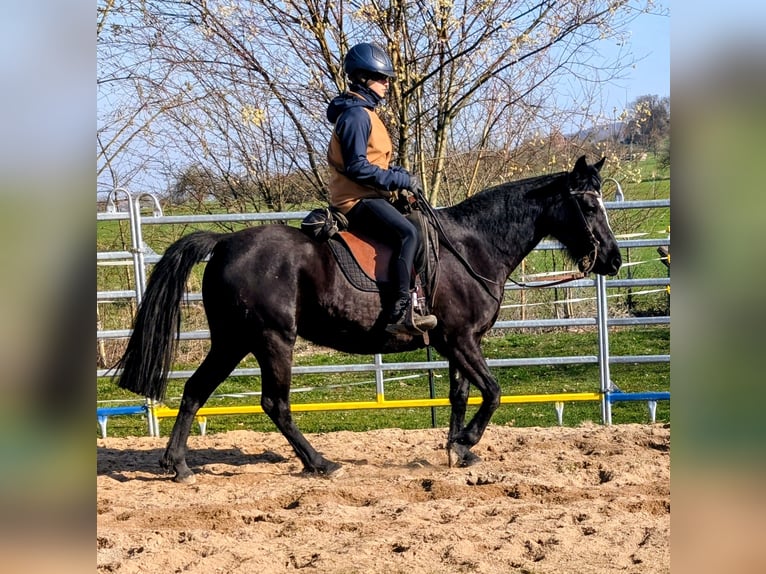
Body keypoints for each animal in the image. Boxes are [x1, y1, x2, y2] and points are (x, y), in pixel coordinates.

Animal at [115, 155, 621, 483]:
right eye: (588, 205)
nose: (613, 260)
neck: (472, 246)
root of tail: (224, 243)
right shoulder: (461, 339)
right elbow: (493, 392)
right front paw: (466, 441)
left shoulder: (457, 342)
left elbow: (460, 395)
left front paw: (457, 450)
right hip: (272, 340)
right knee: (275, 403)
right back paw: (319, 463)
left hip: (232, 341)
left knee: (195, 390)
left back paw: (178, 465)